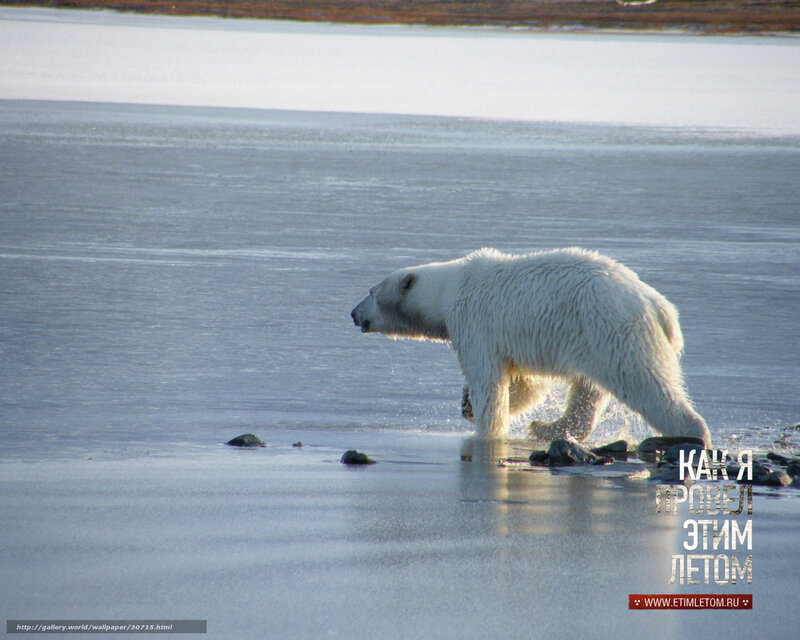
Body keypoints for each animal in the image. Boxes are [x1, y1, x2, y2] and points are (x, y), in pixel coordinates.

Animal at [350, 247, 711, 447]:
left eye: (370, 292)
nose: (353, 314)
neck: (451, 287)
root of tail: (658, 305)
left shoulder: (476, 323)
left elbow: (490, 384)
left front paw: (485, 428)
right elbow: (526, 383)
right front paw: (469, 405)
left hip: (612, 328)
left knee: (644, 384)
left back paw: (691, 434)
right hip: (593, 339)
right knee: (588, 391)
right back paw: (547, 427)